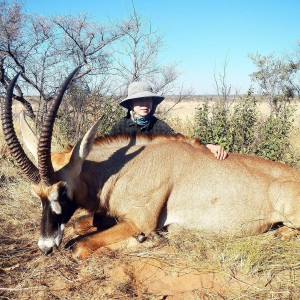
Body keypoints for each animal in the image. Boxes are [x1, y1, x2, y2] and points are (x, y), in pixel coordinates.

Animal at [1, 67, 300, 258]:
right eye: (36, 195)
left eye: (62, 191)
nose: (45, 246)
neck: (119, 170)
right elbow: (77, 225)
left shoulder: (138, 222)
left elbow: (80, 246)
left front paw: (148, 240)